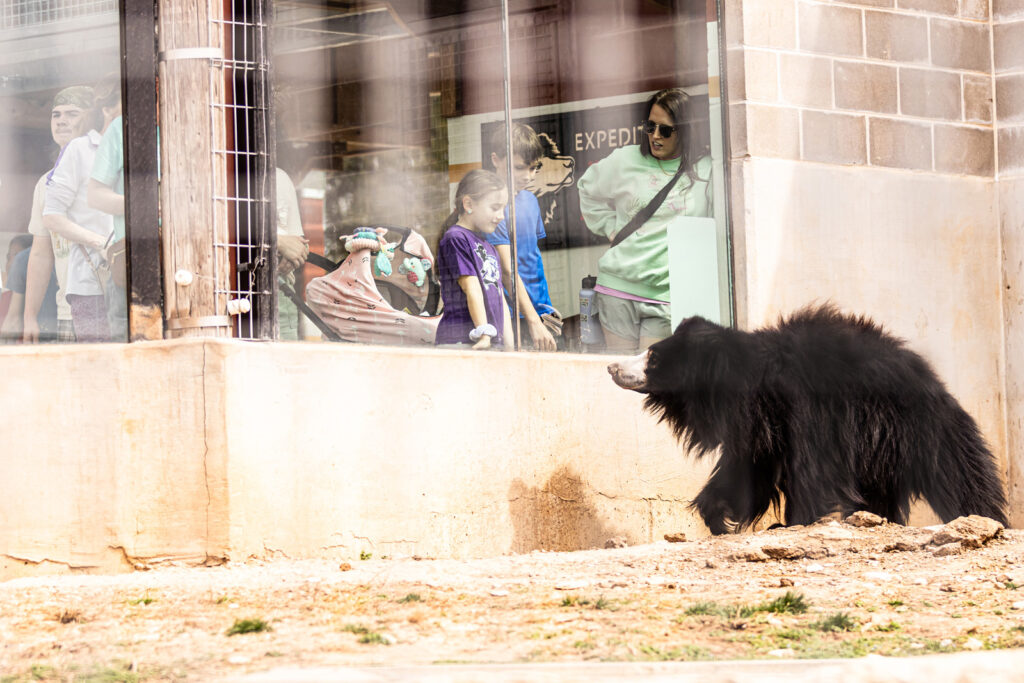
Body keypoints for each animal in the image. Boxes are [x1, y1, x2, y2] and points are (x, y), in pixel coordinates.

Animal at [606, 304, 1009, 534]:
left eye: (653, 357)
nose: (611, 367)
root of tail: (936, 385)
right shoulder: (762, 431)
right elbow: (745, 472)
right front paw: (718, 516)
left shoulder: (808, 412)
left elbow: (812, 472)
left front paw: (793, 521)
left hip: (921, 431)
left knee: (960, 477)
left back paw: (986, 517)